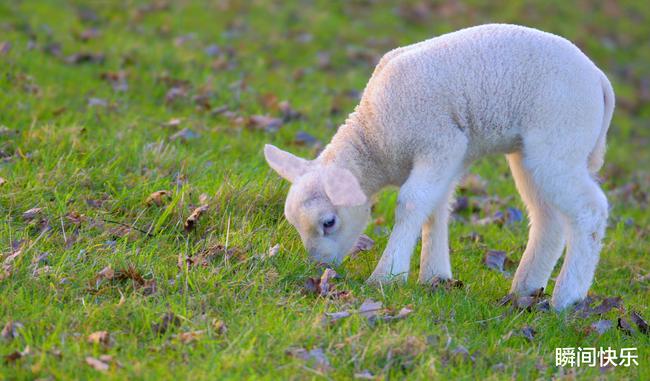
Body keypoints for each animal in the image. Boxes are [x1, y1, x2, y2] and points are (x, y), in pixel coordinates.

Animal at [262, 23, 612, 308]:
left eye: (329, 222)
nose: (319, 268)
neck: (374, 137)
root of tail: (599, 79)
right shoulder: (451, 155)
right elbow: (436, 207)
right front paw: (434, 277)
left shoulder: (439, 142)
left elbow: (411, 203)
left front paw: (386, 276)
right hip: (529, 151)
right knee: (547, 218)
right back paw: (525, 289)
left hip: (559, 137)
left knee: (590, 209)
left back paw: (567, 298)